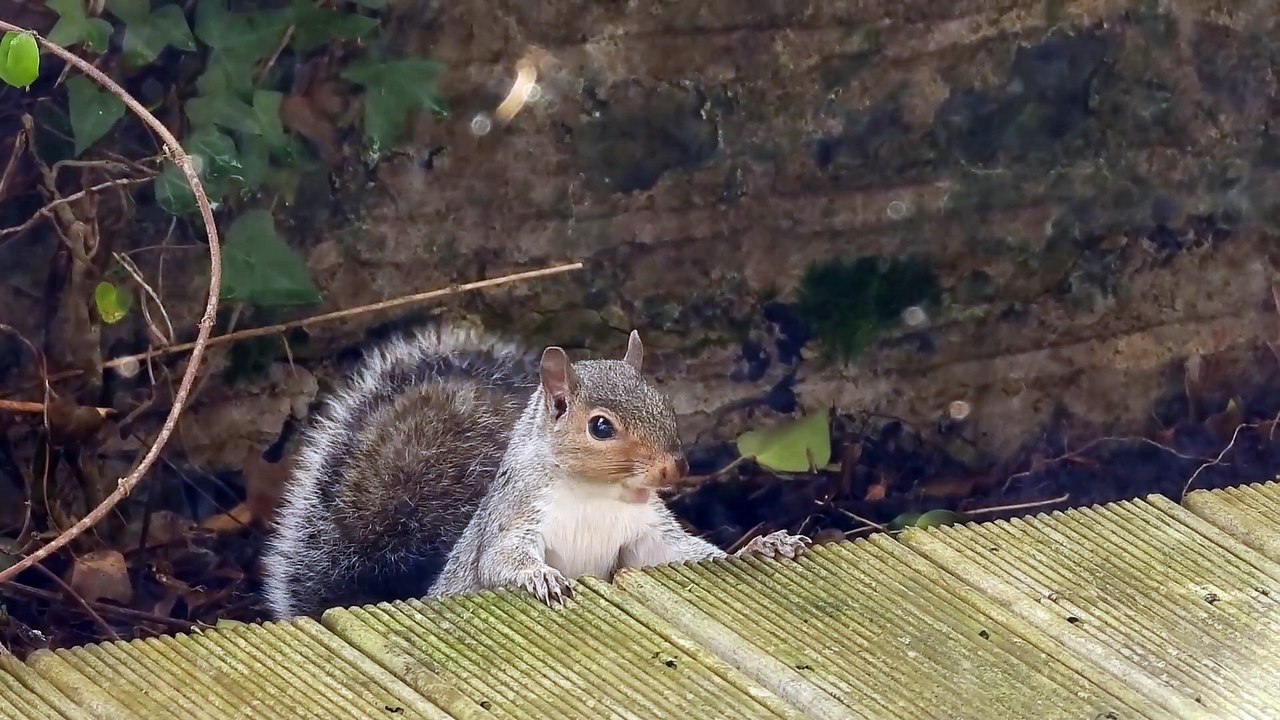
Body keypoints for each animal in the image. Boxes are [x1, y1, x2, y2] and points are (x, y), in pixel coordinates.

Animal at [261, 323, 811, 618]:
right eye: (601, 426)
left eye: (665, 403)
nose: (675, 468)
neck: (599, 497)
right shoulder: (516, 518)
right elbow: (500, 560)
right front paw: (539, 576)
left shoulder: (644, 535)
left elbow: (679, 554)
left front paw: (762, 545)